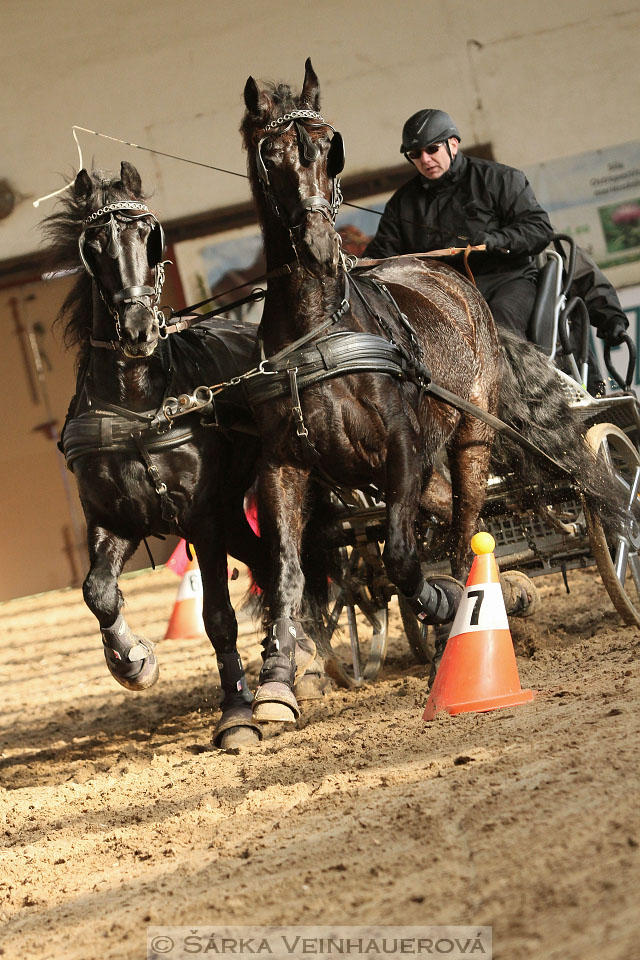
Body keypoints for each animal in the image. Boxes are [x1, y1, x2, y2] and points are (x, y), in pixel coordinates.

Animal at [43, 163, 264, 752]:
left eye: (149, 235)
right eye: (94, 244)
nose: (140, 330)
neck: (138, 404)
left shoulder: (202, 518)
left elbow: (217, 615)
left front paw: (237, 711)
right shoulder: (112, 517)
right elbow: (98, 592)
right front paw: (131, 660)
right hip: (233, 511)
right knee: (270, 559)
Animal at [241, 60, 624, 724]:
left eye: (330, 146)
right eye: (270, 153)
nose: (318, 246)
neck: (324, 328)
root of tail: (449, 277)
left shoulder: (401, 448)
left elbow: (401, 555)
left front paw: (445, 605)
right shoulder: (285, 465)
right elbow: (289, 573)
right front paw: (274, 690)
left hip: (470, 437)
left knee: (469, 525)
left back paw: (476, 607)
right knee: (445, 520)